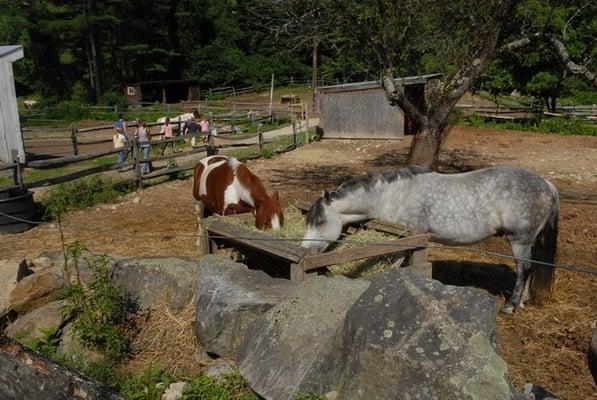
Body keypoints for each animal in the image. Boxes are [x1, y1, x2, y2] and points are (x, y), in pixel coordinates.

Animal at [302, 166, 560, 312]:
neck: (391, 196)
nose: (305, 250)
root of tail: (546, 184)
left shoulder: (409, 237)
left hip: (519, 241)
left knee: (524, 269)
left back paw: (510, 306)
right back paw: (523, 300)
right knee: (529, 268)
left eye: (320, 221)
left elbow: (396, 263)